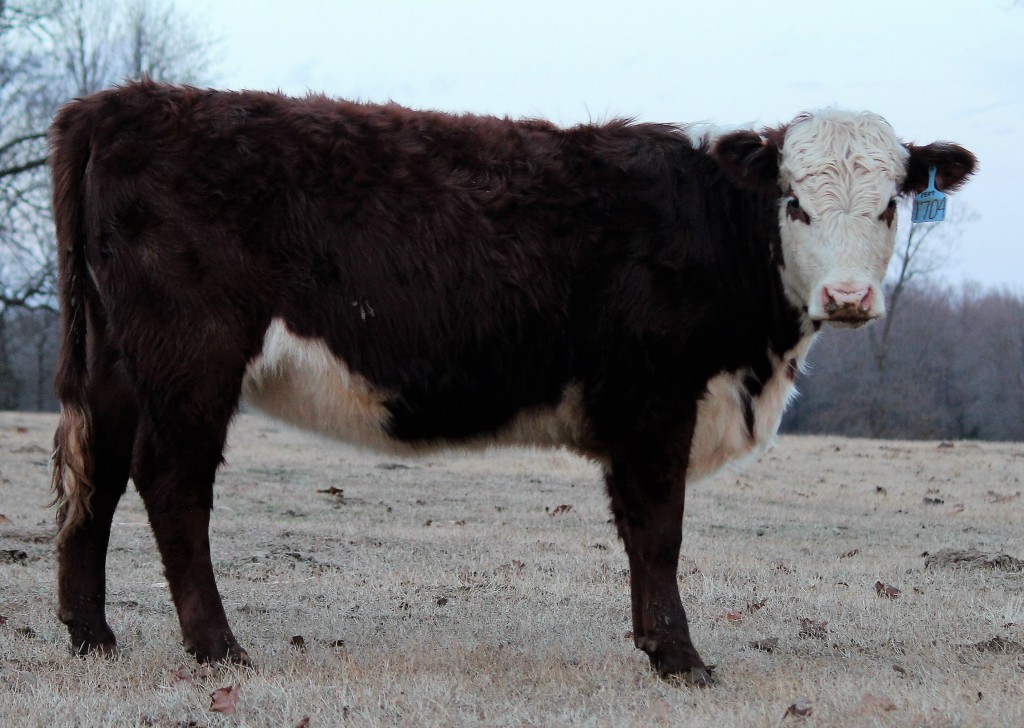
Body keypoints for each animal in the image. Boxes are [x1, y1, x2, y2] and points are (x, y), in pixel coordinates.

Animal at [49, 82, 974, 688]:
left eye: (891, 202)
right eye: (794, 202)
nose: (848, 297)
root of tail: (124, 101)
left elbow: (645, 532)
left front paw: (658, 647)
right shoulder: (652, 398)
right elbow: (659, 529)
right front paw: (680, 659)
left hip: (115, 360)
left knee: (96, 477)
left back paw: (92, 636)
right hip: (191, 354)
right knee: (171, 484)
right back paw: (218, 648)